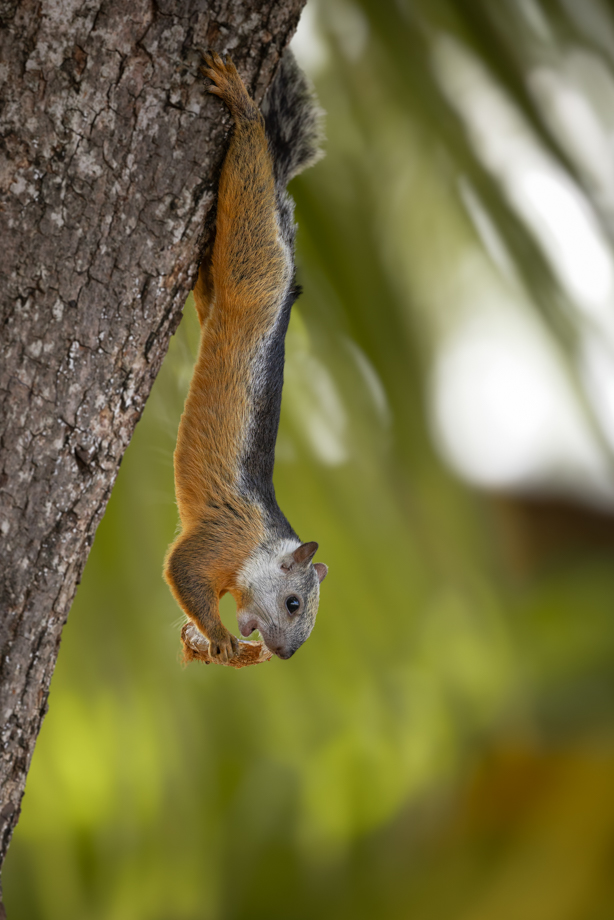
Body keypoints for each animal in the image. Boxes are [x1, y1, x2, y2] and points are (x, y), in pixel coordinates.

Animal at [164, 51, 327, 664]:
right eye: (294, 603)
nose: (285, 655)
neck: (260, 546)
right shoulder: (219, 540)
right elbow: (182, 571)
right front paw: (221, 639)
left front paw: (199, 640)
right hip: (255, 260)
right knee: (248, 188)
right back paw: (244, 109)